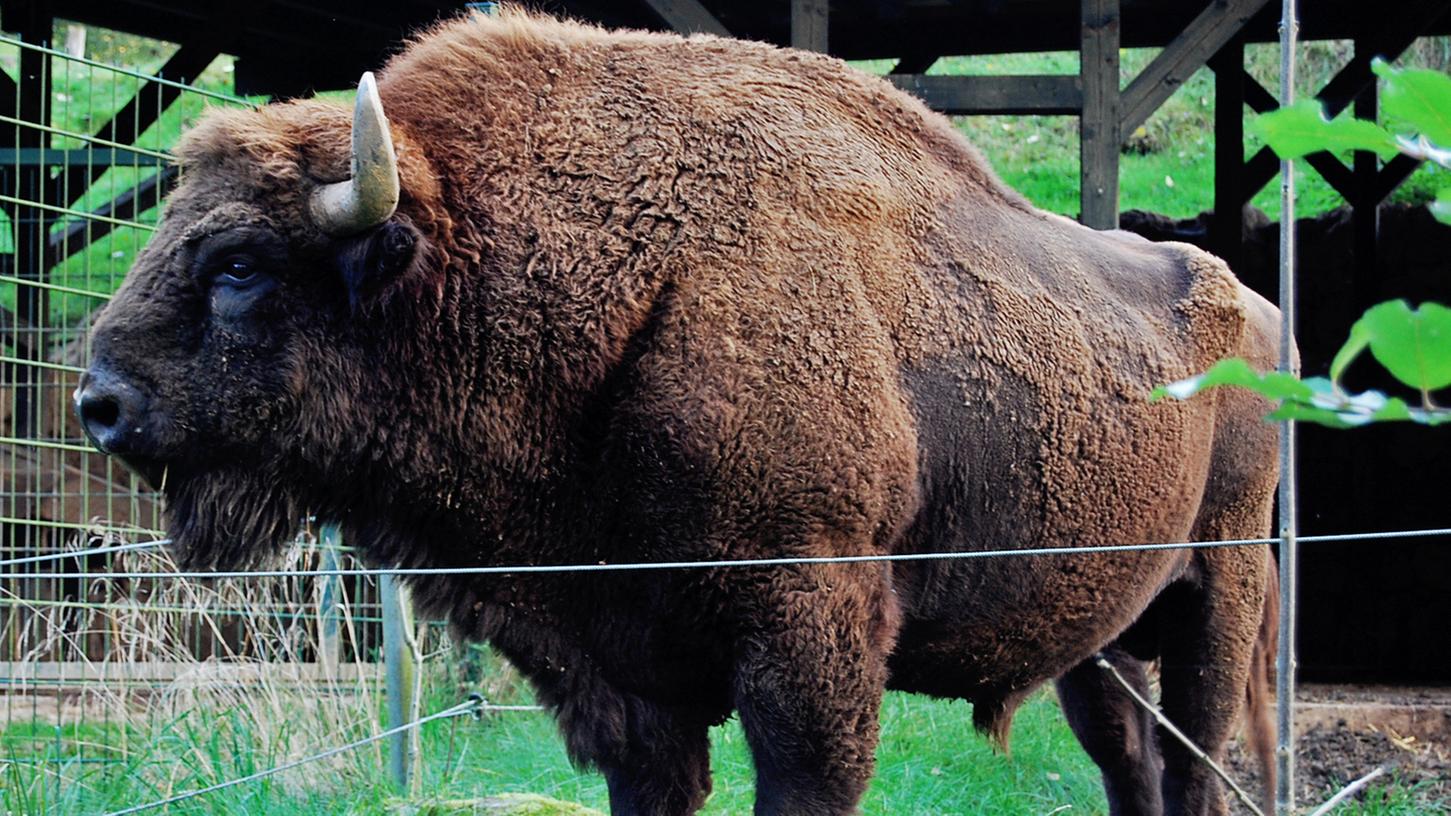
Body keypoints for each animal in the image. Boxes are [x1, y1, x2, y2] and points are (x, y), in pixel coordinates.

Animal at [79, 7, 1282, 813]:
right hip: (1103, 637)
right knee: (1130, 760)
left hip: (1220, 589)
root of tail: (1258, 310)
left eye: (239, 262)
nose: (99, 403)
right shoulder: (623, 677)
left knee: (1196, 760)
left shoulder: (810, 628)